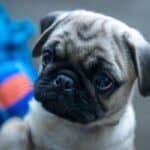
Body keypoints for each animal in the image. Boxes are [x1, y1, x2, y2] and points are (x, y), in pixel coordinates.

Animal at [0, 9, 150, 149]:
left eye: (103, 81)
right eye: (47, 55)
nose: (64, 81)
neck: (70, 125)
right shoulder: (21, 126)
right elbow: (15, 127)